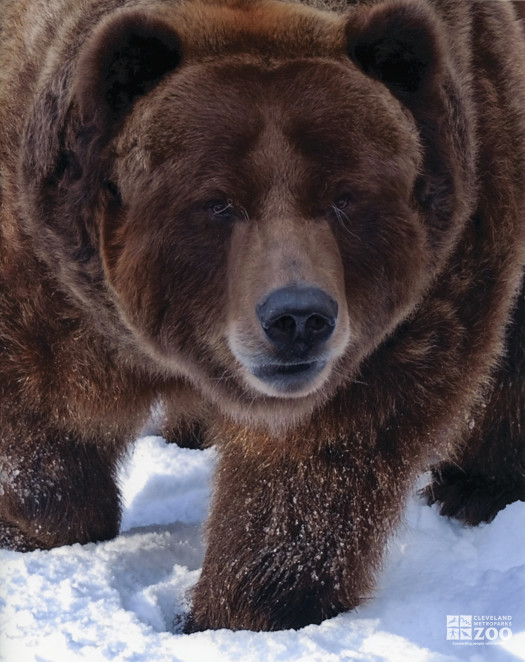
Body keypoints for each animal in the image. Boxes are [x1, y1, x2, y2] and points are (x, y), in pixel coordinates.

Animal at [1, 0, 524, 632]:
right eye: (218, 201)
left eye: (344, 196)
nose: (298, 318)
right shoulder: (48, 256)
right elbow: (38, 391)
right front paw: (37, 523)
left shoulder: (431, 272)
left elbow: (323, 454)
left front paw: (242, 607)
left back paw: (475, 486)